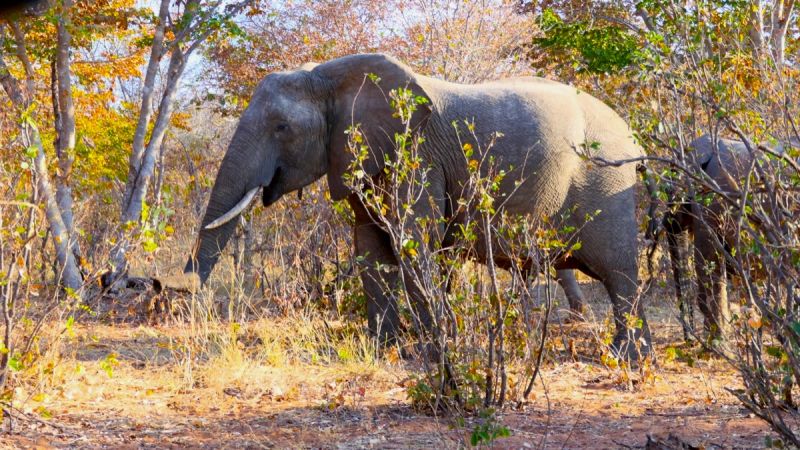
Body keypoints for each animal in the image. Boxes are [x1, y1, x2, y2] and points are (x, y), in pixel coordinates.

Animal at [180, 53, 648, 358]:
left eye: (281, 128)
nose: (181, 294)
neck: (327, 76)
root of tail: (632, 133)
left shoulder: (417, 153)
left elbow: (412, 240)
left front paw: (435, 348)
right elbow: (370, 249)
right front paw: (384, 349)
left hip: (605, 178)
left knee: (618, 271)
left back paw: (626, 357)